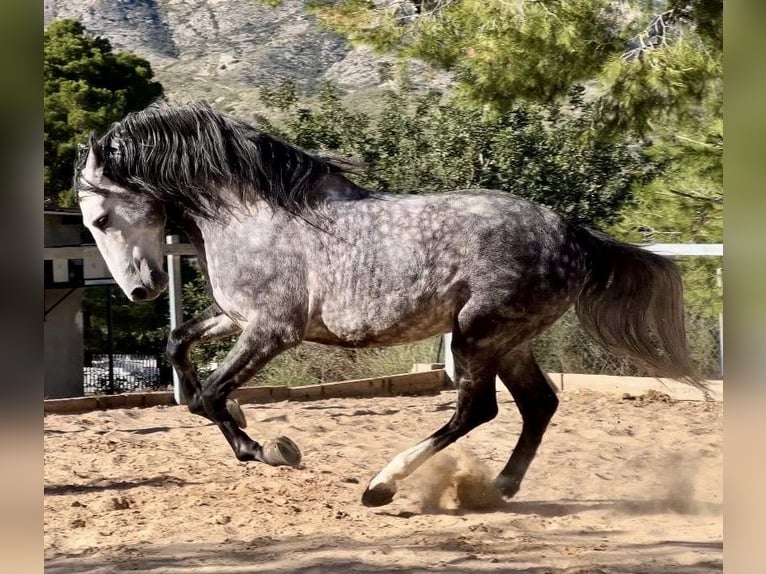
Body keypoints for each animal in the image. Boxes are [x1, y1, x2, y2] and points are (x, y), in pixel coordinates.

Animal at [75, 102, 704, 508]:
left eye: (100, 218)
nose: (142, 290)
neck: (251, 216)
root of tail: (572, 233)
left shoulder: (272, 330)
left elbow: (209, 392)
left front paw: (267, 449)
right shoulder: (237, 318)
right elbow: (178, 347)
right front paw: (249, 428)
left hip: (478, 333)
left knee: (478, 410)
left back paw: (382, 486)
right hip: (509, 340)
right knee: (539, 405)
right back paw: (499, 488)